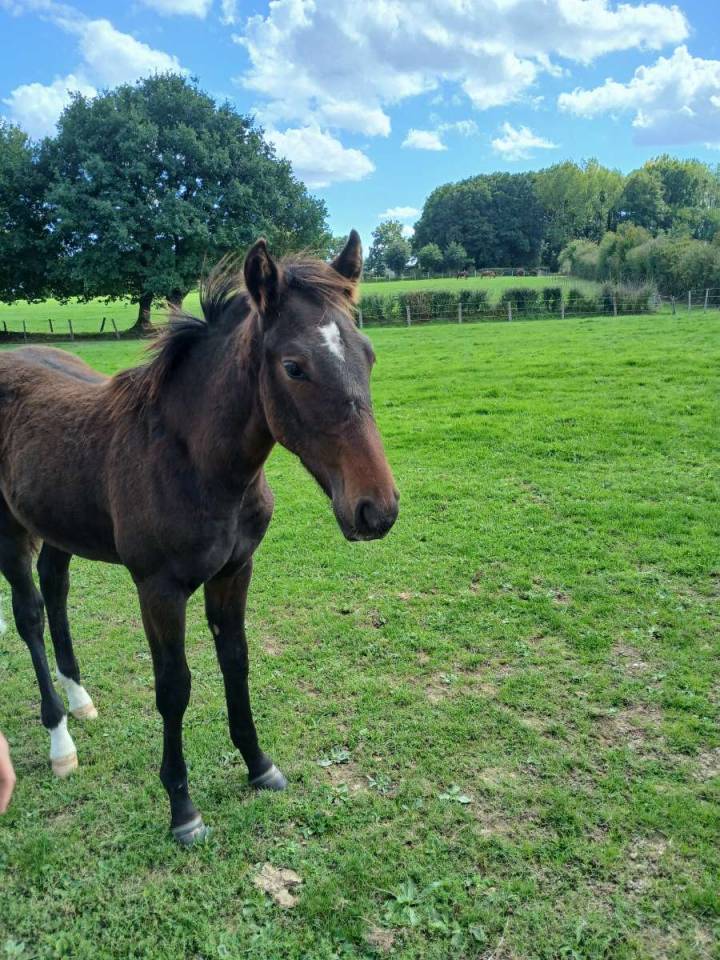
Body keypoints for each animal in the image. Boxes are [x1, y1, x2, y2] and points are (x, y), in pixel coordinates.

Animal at [0, 231, 399, 844]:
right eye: (293, 366)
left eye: (369, 354)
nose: (376, 510)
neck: (196, 463)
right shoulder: (158, 590)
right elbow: (174, 688)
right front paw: (182, 809)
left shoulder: (235, 571)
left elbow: (236, 660)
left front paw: (259, 765)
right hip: (11, 529)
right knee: (29, 615)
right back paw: (60, 741)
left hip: (57, 524)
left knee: (56, 593)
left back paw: (80, 700)